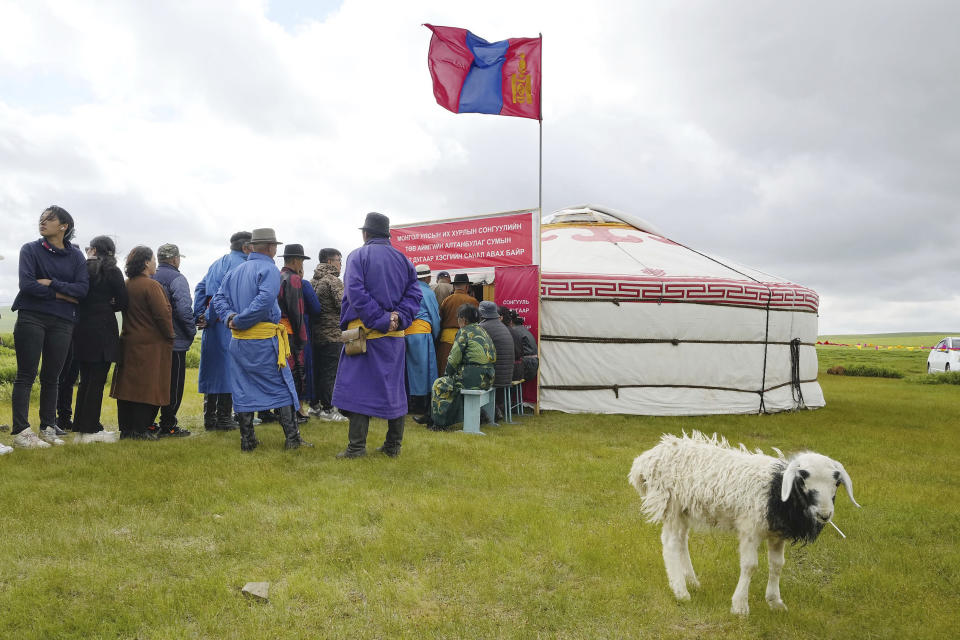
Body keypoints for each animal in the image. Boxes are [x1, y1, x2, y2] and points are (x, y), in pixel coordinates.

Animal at [628, 430, 860, 616]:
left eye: (836, 483)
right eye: (803, 478)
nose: (825, 514)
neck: (776, 491)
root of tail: (645, 460)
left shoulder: (777, 535)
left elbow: (777, 565)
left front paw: (775, 602)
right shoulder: (750, 529)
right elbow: (750, 566)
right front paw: (739, 606)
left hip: (684, 508)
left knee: (681, 541)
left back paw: (691, 581)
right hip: (671, 505)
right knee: (670, 544)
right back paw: (681, 590)